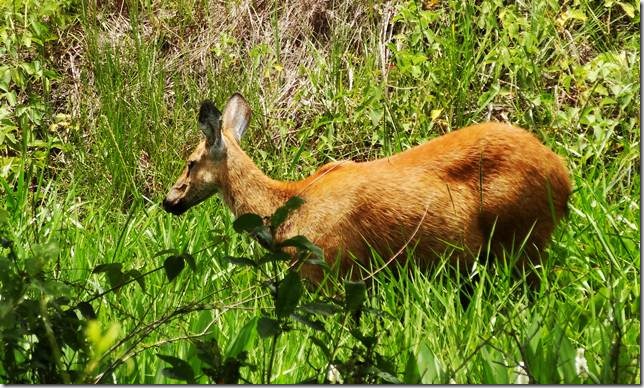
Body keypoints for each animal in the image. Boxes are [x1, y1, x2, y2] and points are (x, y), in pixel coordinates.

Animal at [164, 92, 572, 284]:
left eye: (190, 161)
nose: (170, 200)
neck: (285, 211)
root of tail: (563, 177)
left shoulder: (328, 266)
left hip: (522, 236)